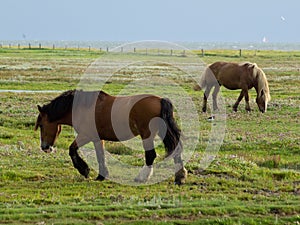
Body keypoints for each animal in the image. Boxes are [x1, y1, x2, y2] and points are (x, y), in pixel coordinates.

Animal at [35, 89, 188, 185]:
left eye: (41, 125)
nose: (45, 147)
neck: (82, 107)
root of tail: (160, 100)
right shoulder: (97, 139)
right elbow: (100, 156)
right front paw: (101, 176)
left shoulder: (85, 136)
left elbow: (72, 149)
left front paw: (84, 170)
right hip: (163, 132)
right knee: (175, 149)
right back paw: (179, 177)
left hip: (147, 136)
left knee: (150, 155)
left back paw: (141, 178)